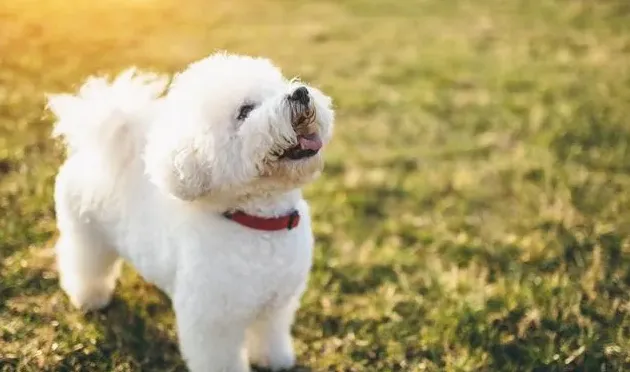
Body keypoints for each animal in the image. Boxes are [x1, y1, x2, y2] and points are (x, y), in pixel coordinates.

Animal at [48, 52, 336, 372]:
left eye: (280, 86)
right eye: (245, 111)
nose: (300, 93)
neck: (257, 222)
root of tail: (90, 153)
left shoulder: (276, 303)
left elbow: (269, 333)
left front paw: (274, 360)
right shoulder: (212, 320)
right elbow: (220, 358)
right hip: (86, 234)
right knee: (83, 264)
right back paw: (90, 298)